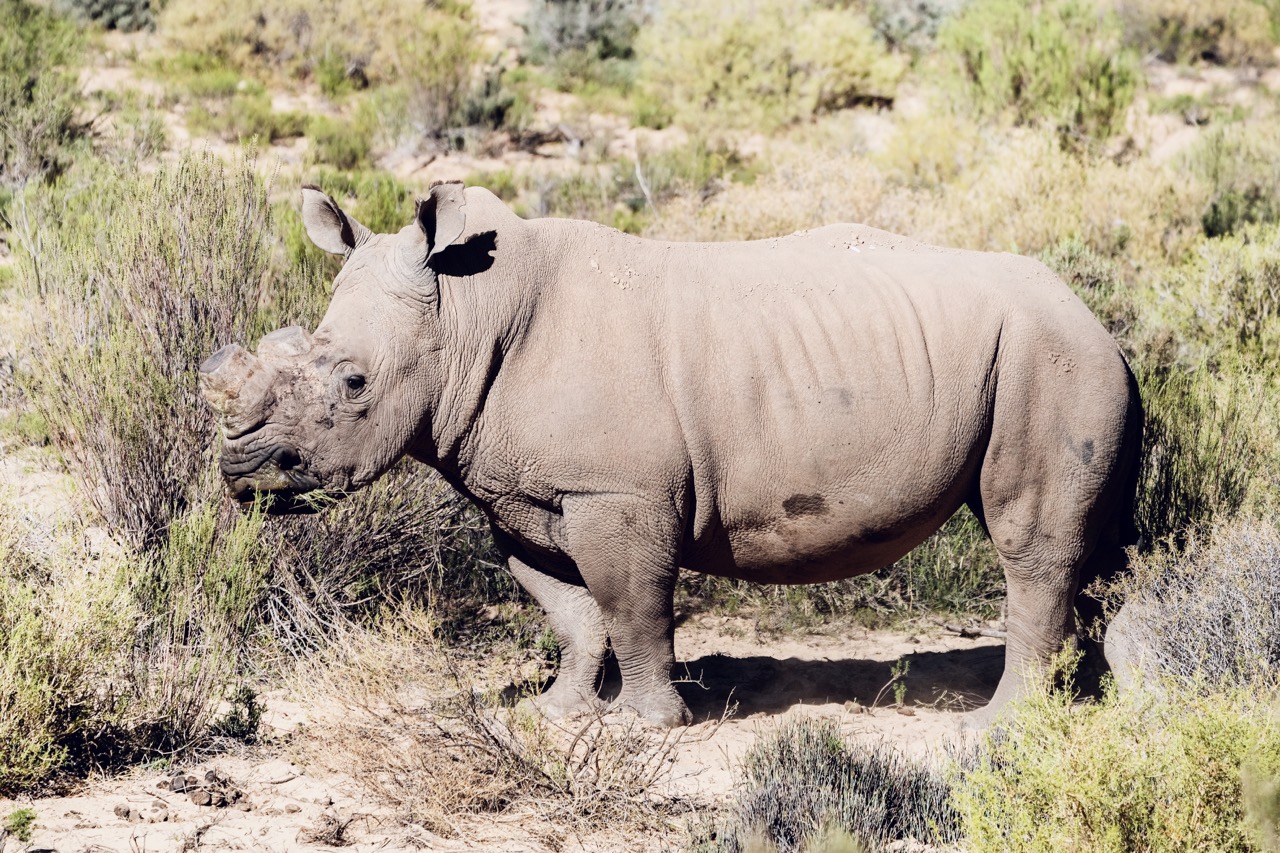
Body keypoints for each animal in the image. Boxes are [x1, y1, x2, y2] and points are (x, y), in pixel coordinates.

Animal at [199, 181, 1143, 727]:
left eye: (354, 381)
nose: (244, 474)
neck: (466, 315)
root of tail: (1092, 311)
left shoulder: (618, 493)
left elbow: (633, 606)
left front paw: (642, 727)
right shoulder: (523, 494)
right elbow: (571, 610)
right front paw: (558, 714)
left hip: (1046, 355)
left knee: (1029, 544)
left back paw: (1000, 728)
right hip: (1057, 357)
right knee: (1096, 547)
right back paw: (1093, 693)